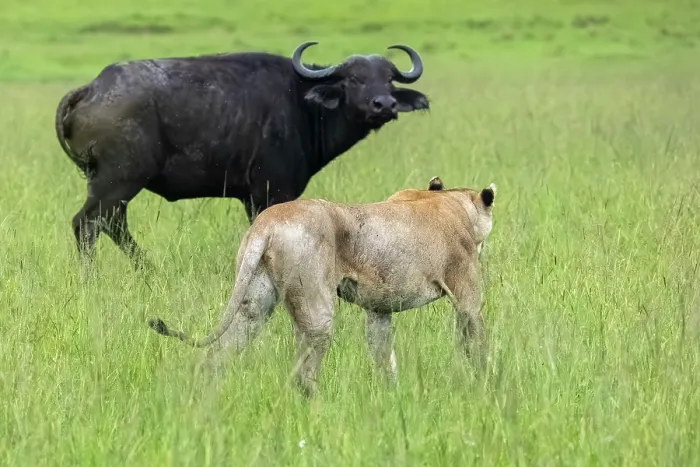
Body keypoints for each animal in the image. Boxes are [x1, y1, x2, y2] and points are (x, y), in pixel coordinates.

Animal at [55, 41, 429, 268]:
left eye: (389, 79)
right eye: (353, 79)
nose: (384, 105)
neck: (302, 103)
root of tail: (93, 87)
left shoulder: (252, 197)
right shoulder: (271, 191)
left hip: (111, 186)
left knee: (111, 224)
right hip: (117, 181)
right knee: (88, 223)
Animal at [148, 176, 497, 396]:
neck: (455, 202)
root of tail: (265, 225)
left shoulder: (379, 308)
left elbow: (383, 354)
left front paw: (392, 397)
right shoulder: (466, 294)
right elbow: (476, 342)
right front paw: (485, 384)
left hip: (253, 305)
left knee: (217, 356)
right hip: (317, 311)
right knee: (303, 373)